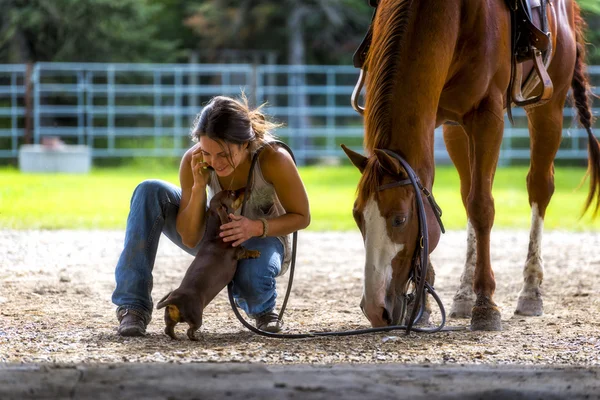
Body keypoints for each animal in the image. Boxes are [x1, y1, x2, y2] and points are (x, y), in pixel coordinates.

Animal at [156, 189, 258, 340]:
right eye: (231, 193)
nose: (248, 188)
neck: (216, 235)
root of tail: (174, 300)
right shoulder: (238, 251)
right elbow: (246, 250)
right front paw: (256, 252)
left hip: (170, 316)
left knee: (168, 329)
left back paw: (175, 337)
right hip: (196, 317)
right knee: (190, 330)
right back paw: (196, 338)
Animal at [342, 0, 600, 332]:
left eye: (399, 219)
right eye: (357, 216)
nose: (376, 310)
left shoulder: (487, 115)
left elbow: (482, 207)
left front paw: (486, 305)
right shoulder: (436, 116)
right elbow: (435, 195)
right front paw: (423, 307)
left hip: (549, 108)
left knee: (539, 188)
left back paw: (530, 291)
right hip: (455, 129)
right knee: (467, 193)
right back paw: (464, 294)